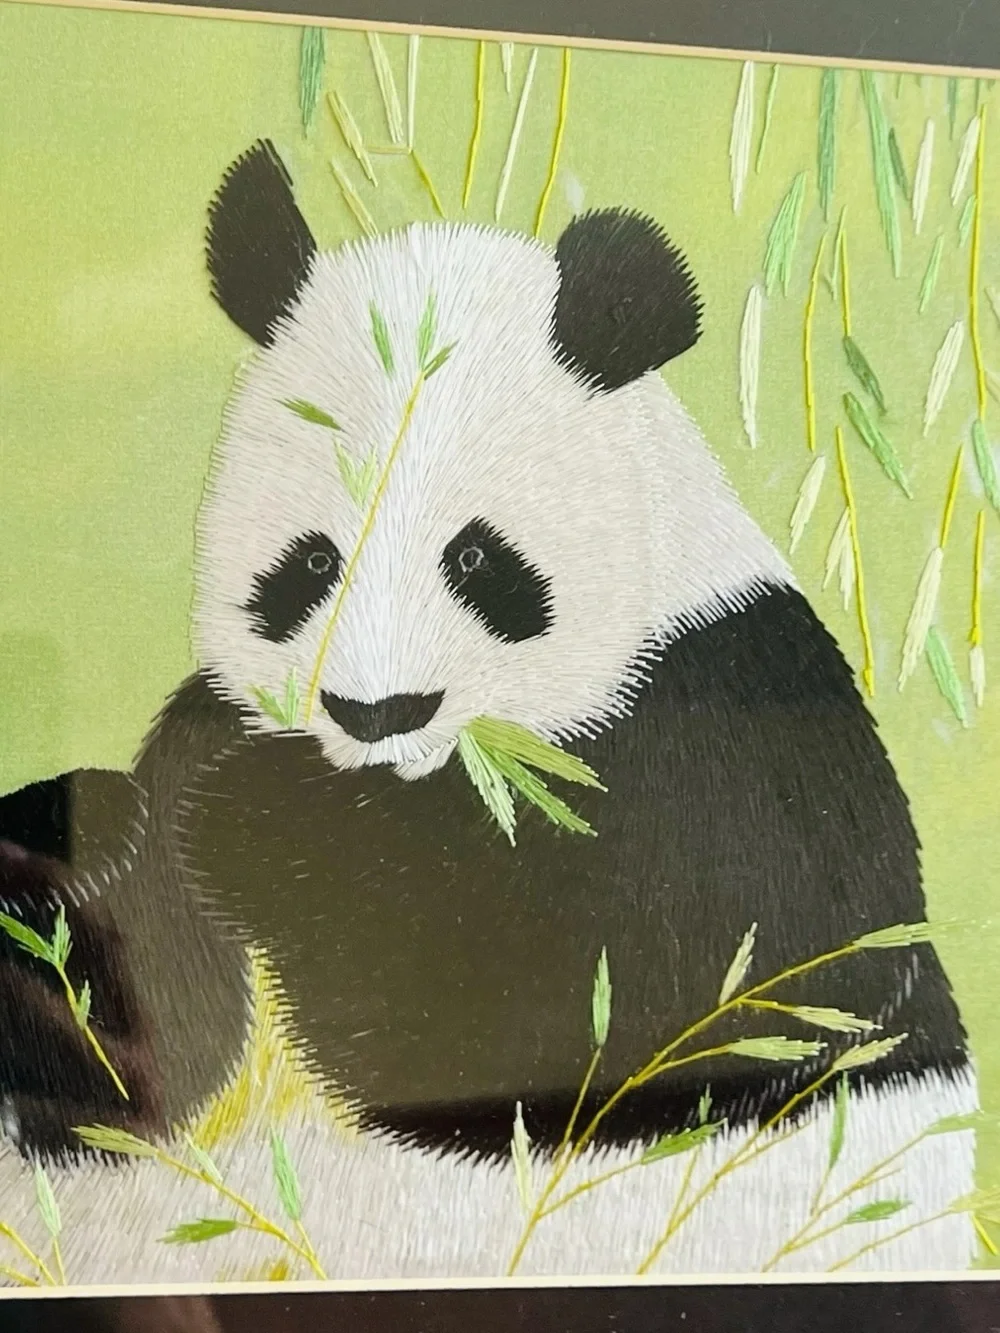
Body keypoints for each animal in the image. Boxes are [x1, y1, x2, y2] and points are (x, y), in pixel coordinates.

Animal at [0, 139, 979, 1284]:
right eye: (312, 563)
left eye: (475, 559)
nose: (376, 713)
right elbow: (148, 1058)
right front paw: (87, 837)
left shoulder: (738, 767)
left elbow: (594, 1026)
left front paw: (254, 819)